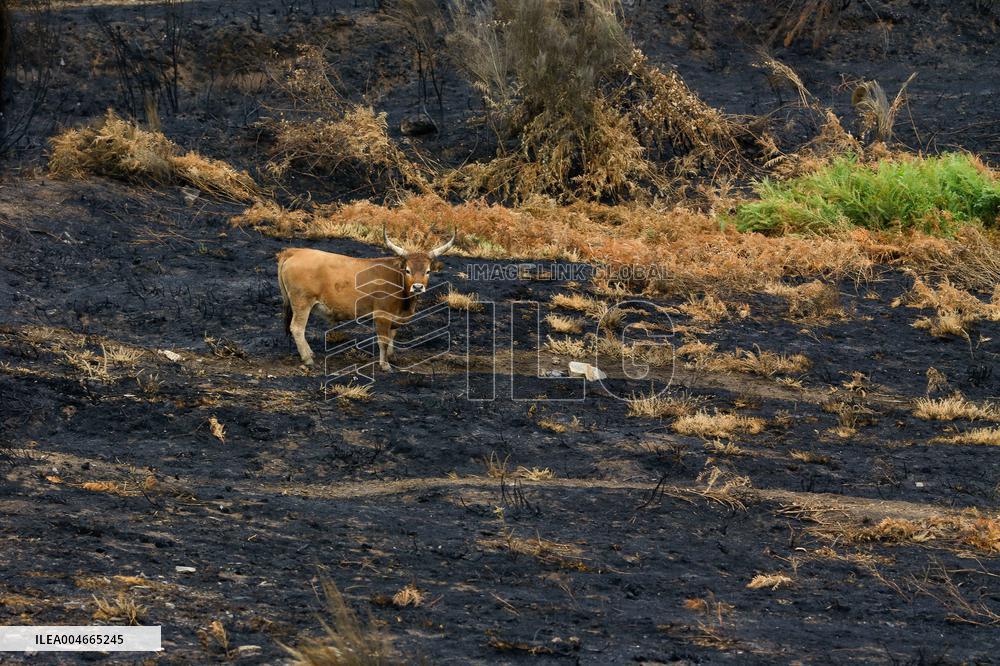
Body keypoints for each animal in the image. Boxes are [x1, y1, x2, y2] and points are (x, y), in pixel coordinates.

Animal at [276, 227, 455, 371]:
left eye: (428, 271)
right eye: (408, 270)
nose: (417, 287)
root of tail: (295, 251)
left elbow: (392, 336)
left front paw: (391, 356)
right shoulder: (382, 315)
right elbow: (383, 340)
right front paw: (385, 365)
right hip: (302, 303)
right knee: (297, 328)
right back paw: (307, 359)